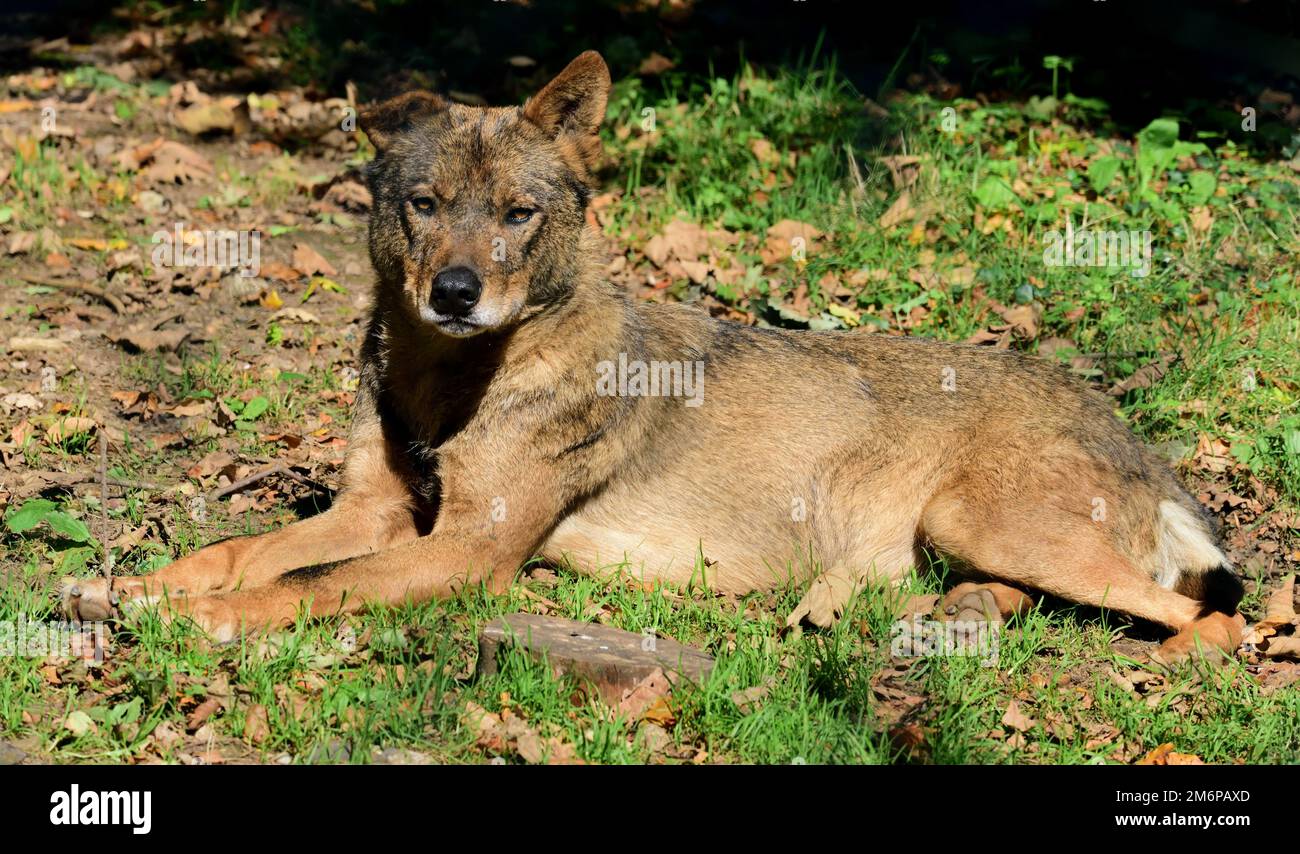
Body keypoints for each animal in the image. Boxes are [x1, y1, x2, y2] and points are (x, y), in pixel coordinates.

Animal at [63, 50, 1248, 662]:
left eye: (518, 214)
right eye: (424, 204)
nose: (455, 294)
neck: (447, 384)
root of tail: (1135, 438)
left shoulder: (465, 552)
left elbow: (305, 585)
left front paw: (202, 621)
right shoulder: (378, 509)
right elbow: (239, 550)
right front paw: (131, 589)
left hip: (986, 521)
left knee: (1209, 614)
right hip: (966, 541)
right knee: (1024, 598)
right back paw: (892, 612)